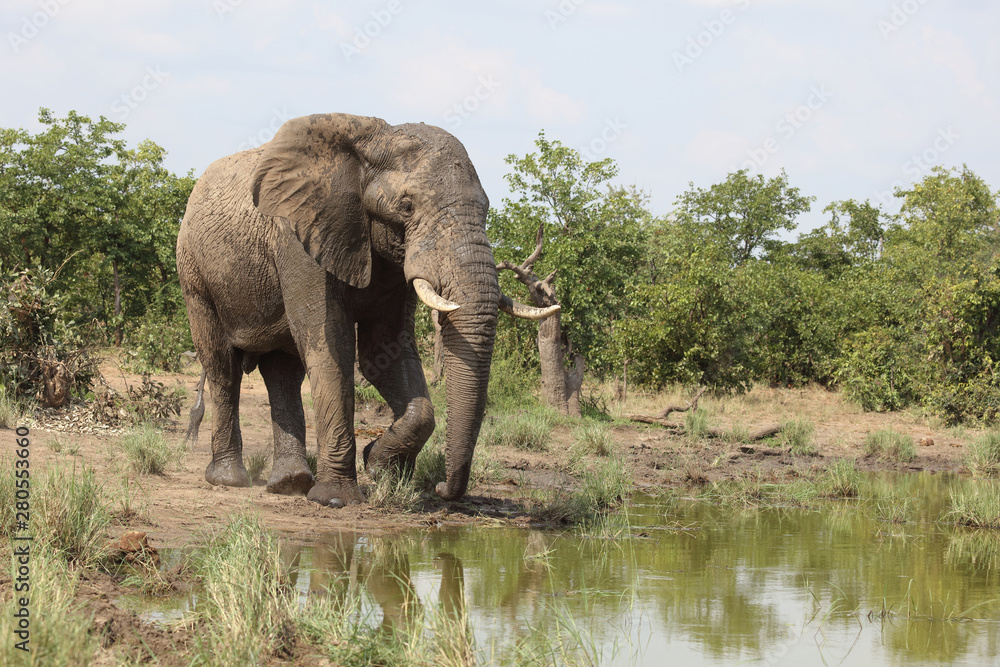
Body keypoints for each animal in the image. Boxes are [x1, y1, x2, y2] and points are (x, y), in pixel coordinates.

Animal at [176, 113, 557, 508]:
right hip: (194, 275)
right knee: (222, 366)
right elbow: (332, 349)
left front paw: (379, 463)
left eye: (486, 210)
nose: (440, 487)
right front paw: (336, 499)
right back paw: (230, 480)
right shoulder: (299, 238)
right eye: (407, 207)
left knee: (283, 371)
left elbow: (384, 352)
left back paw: (290, 483)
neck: (372, 142)